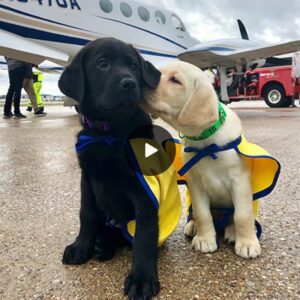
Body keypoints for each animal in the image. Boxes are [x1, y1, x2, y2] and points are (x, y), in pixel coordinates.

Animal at [59, 38, 162, 300]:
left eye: (134, 66)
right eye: (102, 64)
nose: (129, 83)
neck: (109, 132)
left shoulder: (144, 191)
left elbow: (144, 234)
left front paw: (142, 279)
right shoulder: (87, 180)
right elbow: (86, 215)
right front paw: (81, 247)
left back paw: (104, 245)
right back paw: (100, 243)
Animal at [142, 60, 262, 258]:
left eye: (175, 80)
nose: (140, 81)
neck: (206, 144)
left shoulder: (240, 181)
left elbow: (242, 215)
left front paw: (247, 243)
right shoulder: (196, 185)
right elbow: (202, 214)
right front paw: (205, 239)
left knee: (233, 217)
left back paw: (232, 231)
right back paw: (193, 226)